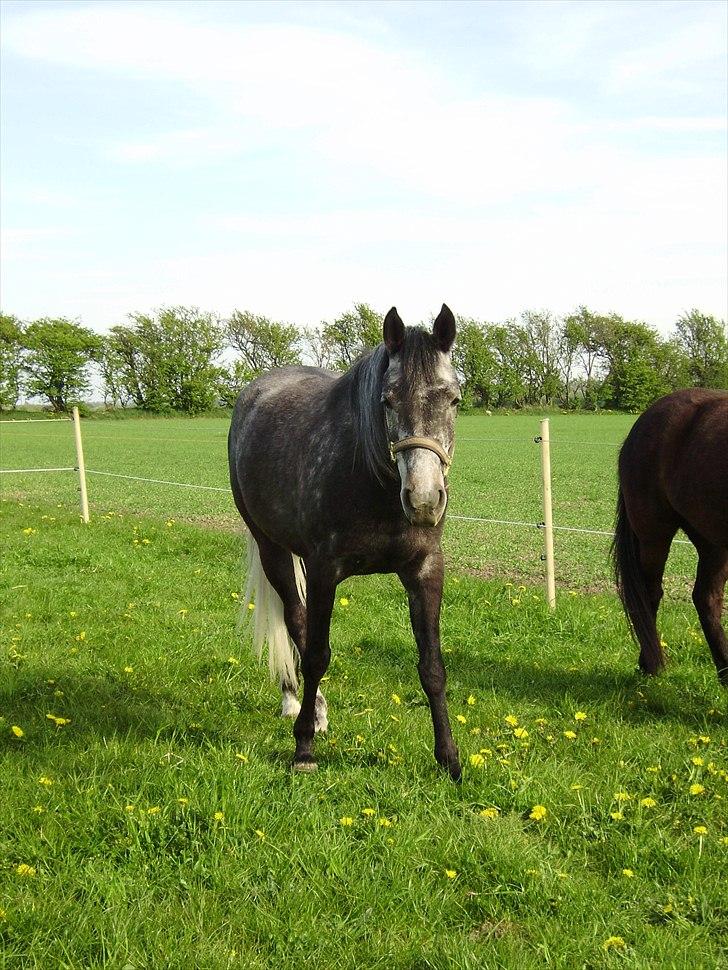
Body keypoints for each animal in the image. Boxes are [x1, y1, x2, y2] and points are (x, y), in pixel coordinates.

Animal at [229, 306, 460, 776]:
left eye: (454, 399)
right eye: (387, 400)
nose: (424, 499)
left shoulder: (425, 570)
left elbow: (432, 665)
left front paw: (449, 758)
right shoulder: (323, 572)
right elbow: (317, 653)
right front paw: (303, 749)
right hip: (272, 549)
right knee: (294, 621)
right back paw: (304, 707)